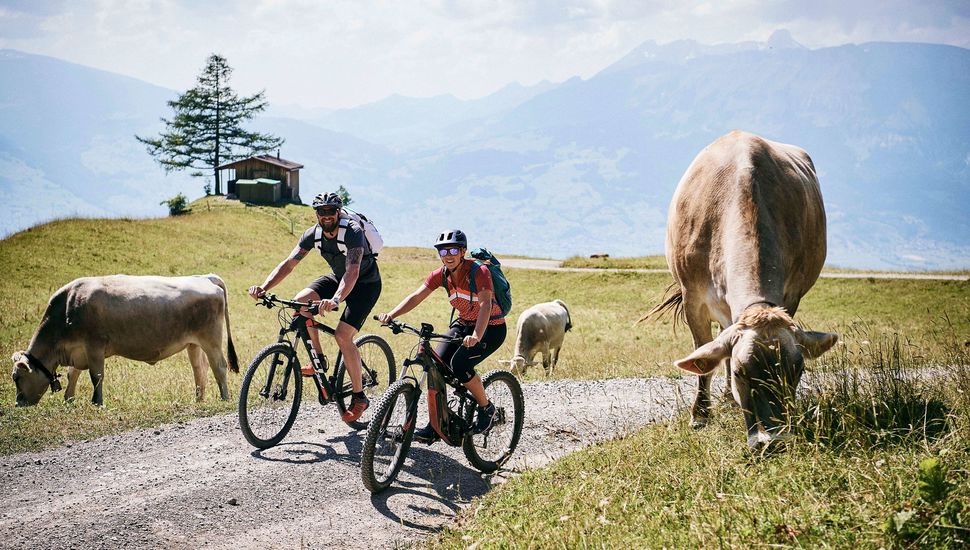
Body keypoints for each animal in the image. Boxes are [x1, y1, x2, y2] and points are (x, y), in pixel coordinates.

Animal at [12, 274, 238, 408]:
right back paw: (198, 400)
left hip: (211, 339)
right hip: (193, 343)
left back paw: (224, 398)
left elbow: (96, 376)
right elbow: (72, 374)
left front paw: (97, 403)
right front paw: (69, 400)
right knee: (199, 369)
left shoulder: (94, 345)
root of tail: (204, 277)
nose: (18, 403)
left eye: (16, 377)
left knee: (219, 366)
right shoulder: (78, 351)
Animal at [652, 133, 840, 452]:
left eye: (798, 370)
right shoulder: (693, 299)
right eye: (742, 372)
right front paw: (700, 415)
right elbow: (705, 358)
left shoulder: (791, 296)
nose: (774, 441)